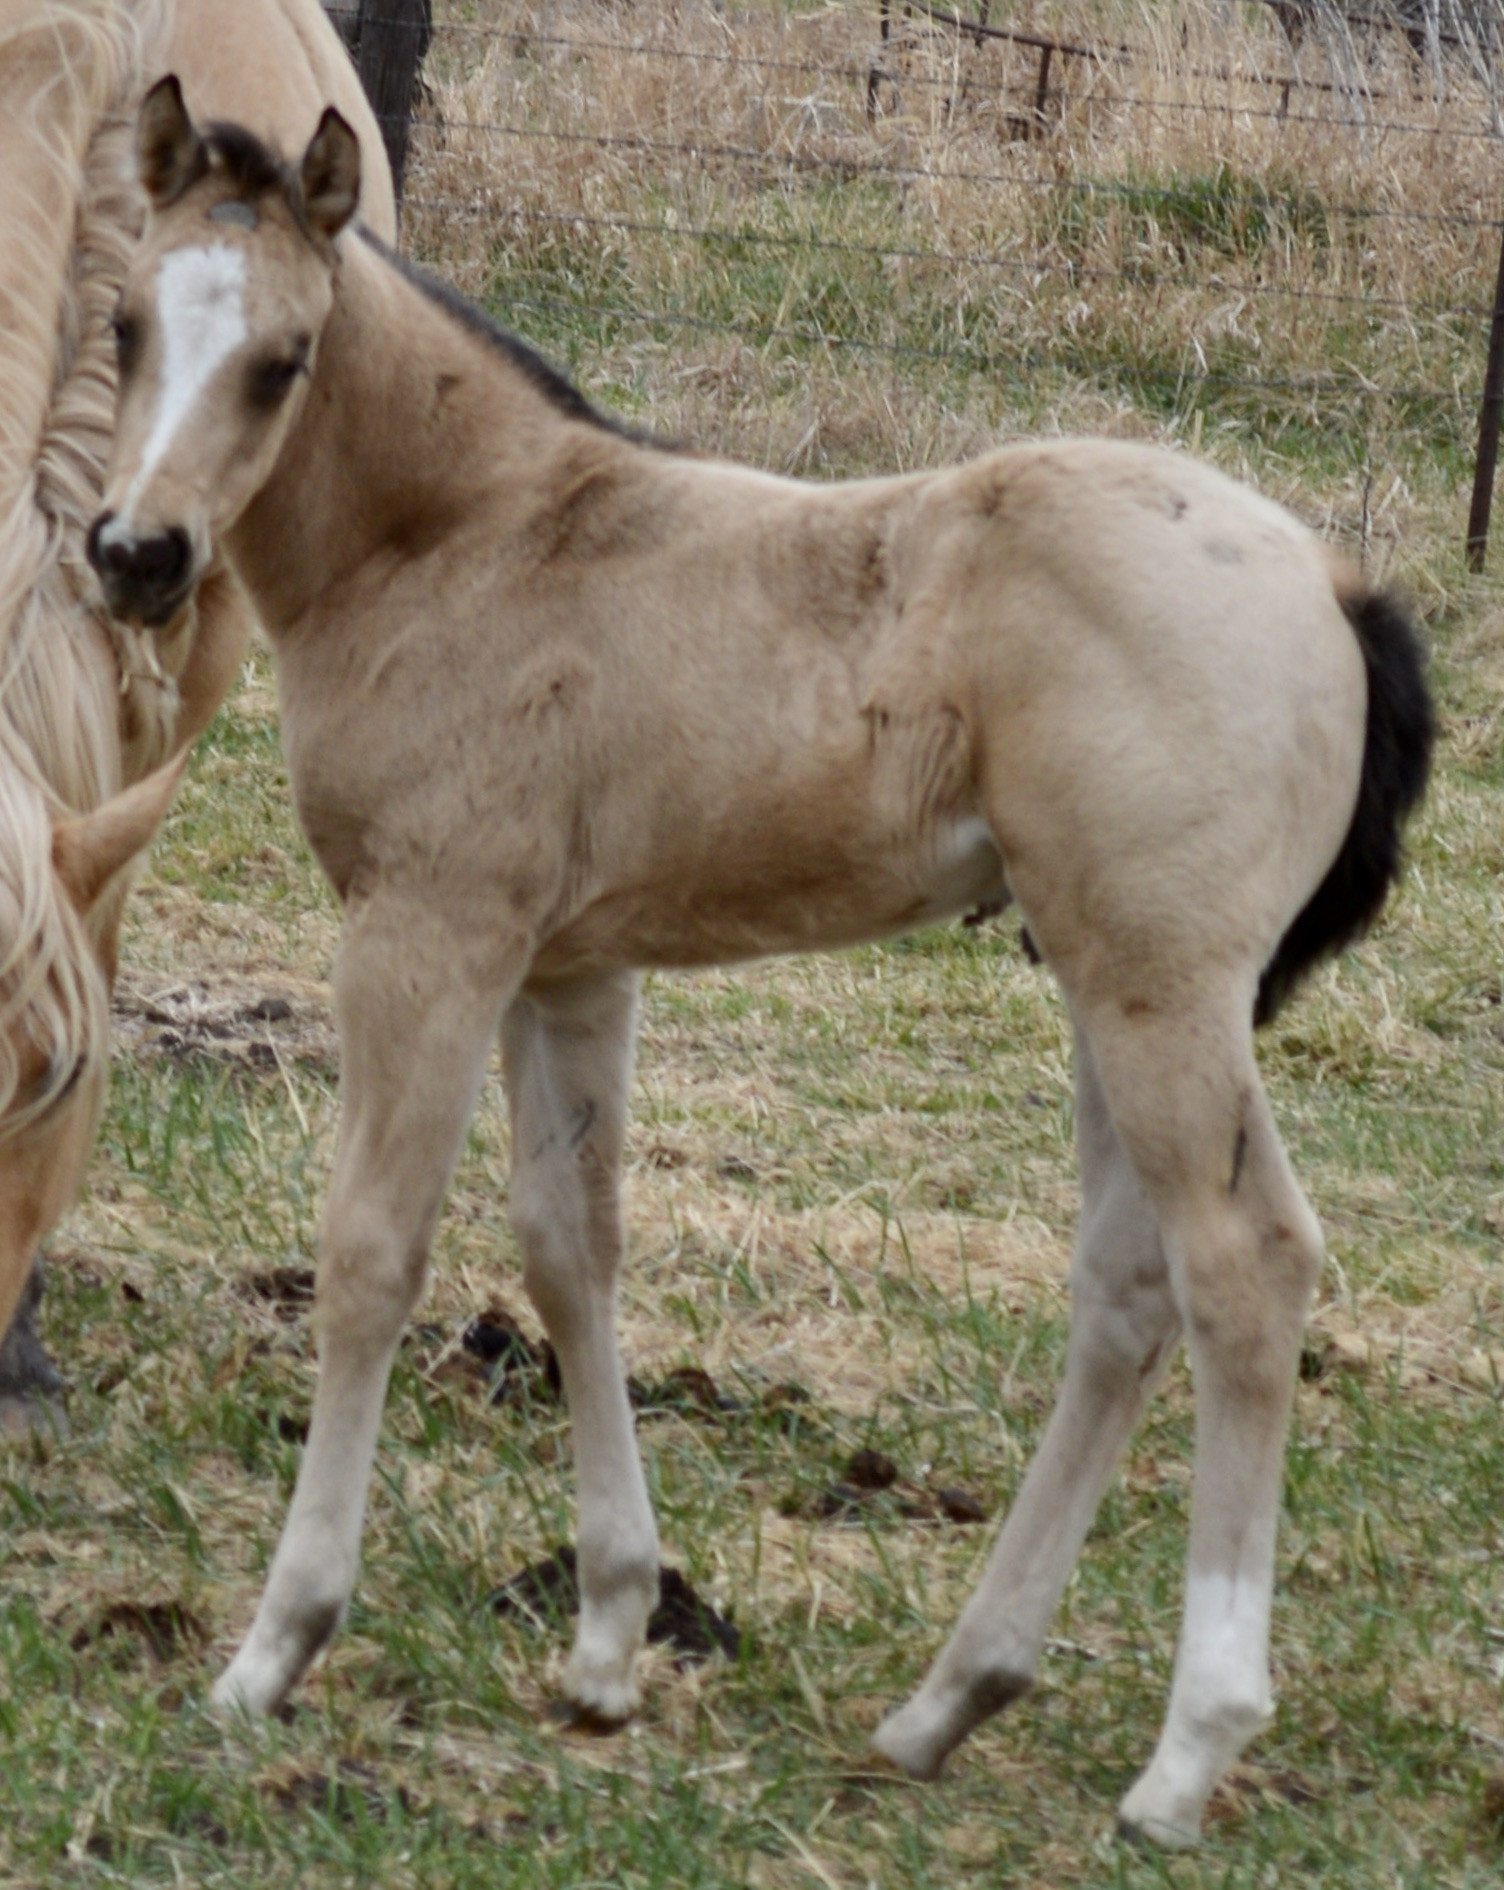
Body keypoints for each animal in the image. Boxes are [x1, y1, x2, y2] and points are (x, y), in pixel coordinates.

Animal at [87, 86, 1432, 1846]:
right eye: (124, 322)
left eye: (283, 359)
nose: (135, 553)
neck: (468, 543)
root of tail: (1334, 583)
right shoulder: (568, 966)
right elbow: (570, 1247)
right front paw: (606, 1641)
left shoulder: (426, 930)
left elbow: (372, 1251)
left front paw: (273, 1649)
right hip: (1113, 982)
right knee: (1127, 1291)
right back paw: (946, 1701)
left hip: (1162, 986)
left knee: (1246, 1266)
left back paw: (1185, 1752)